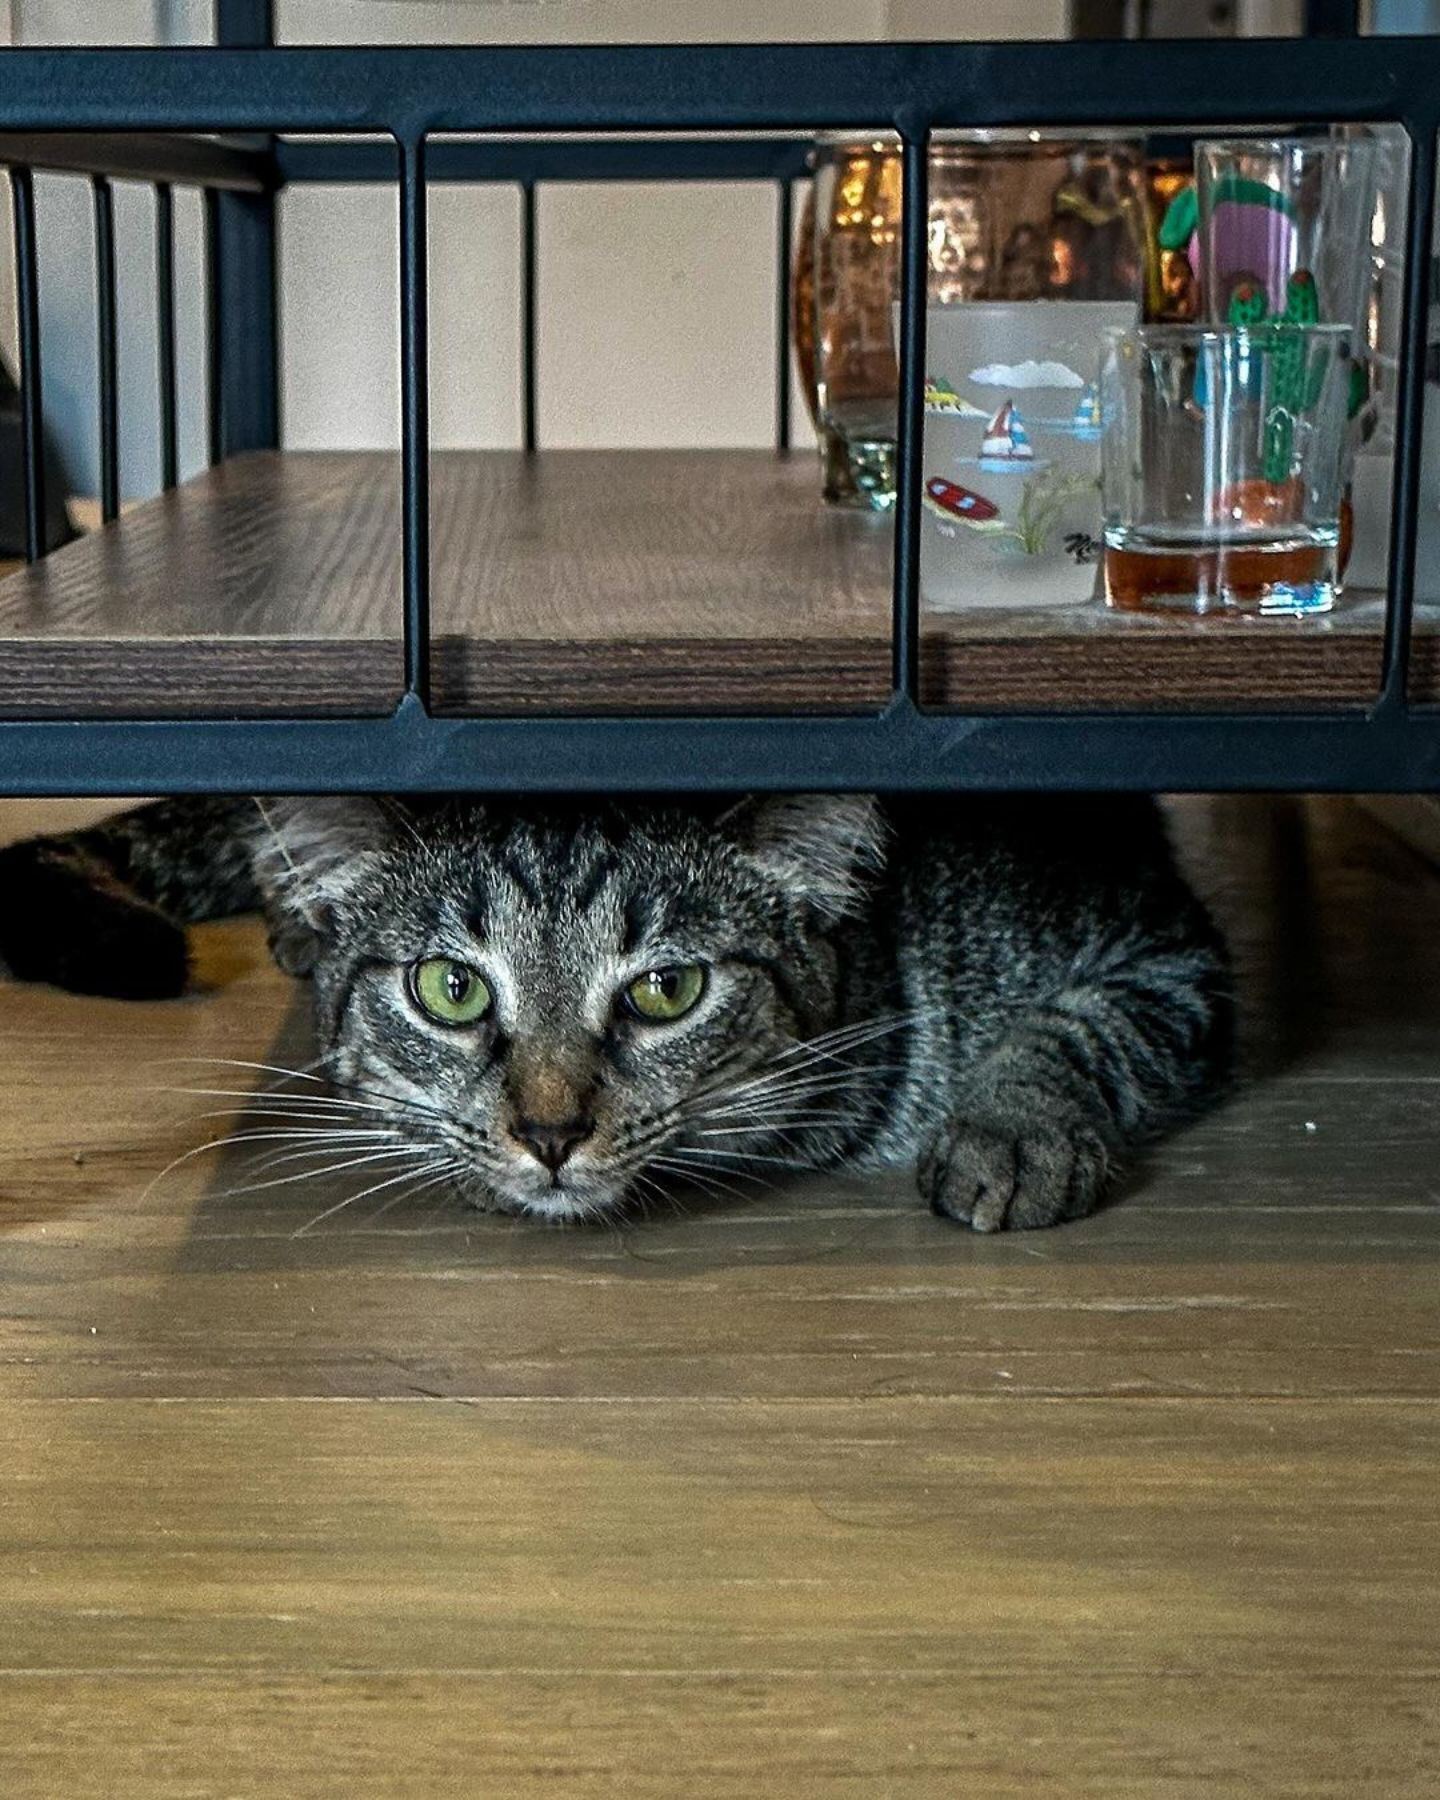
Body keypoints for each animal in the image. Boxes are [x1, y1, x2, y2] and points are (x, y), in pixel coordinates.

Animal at [2, 795, 1238, 1231]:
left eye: (665, 991)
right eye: (451, 989)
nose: (550, 1135)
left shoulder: (1166, 948)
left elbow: (1074, 1030)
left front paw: (1010, 1129)